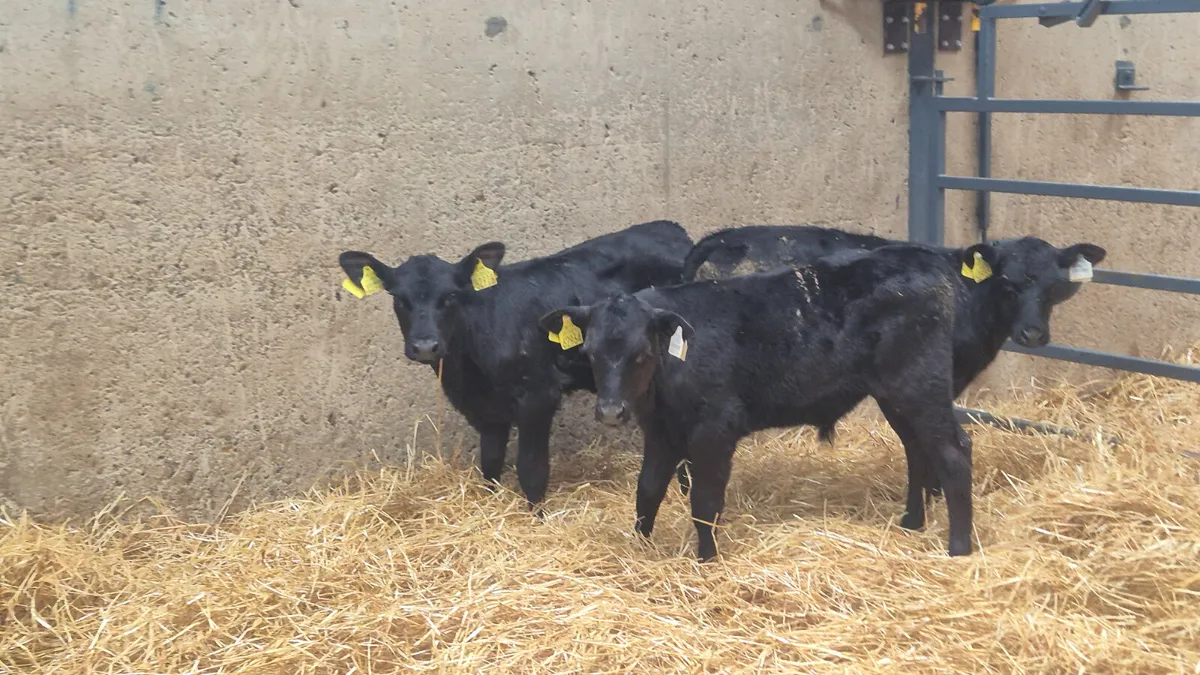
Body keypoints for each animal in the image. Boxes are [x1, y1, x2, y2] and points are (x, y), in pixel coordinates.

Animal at [338, 220, 693, 511]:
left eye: (451, 296)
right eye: (399, 299)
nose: (425, 346)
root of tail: (671, 229)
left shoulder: (538, 396)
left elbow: (531, 469)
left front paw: (537, 517)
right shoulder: (484, 408)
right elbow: (491, 463)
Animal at [541, 243, 977, 561]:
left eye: (641, 353)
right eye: (591, 353)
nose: (611, 411)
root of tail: (922, 257)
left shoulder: (715, 430)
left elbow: (704, 501)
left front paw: (707, 559)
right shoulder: (662, 432)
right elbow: (646, 491)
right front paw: (639, 547)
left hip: (920, 384)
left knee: (953, 451)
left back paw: (958, 548)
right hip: (895, 394)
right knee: (917, 449)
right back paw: (911, 522)